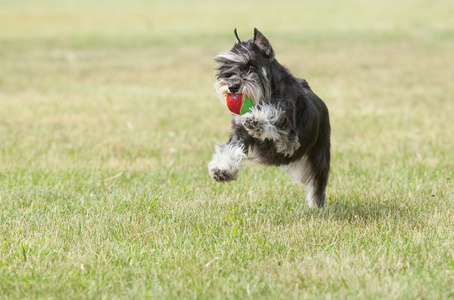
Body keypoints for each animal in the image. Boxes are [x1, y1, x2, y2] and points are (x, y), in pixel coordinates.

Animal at [207, 28, 330, 207]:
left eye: (251, 66)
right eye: (227, 67)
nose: (232, 87)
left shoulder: (289, 137)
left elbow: (274, 116)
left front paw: (256, 120)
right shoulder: (239, 133)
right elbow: (231, 149)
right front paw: (222, 170)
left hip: (320, 154)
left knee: (318, 181)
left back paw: (316, 204)